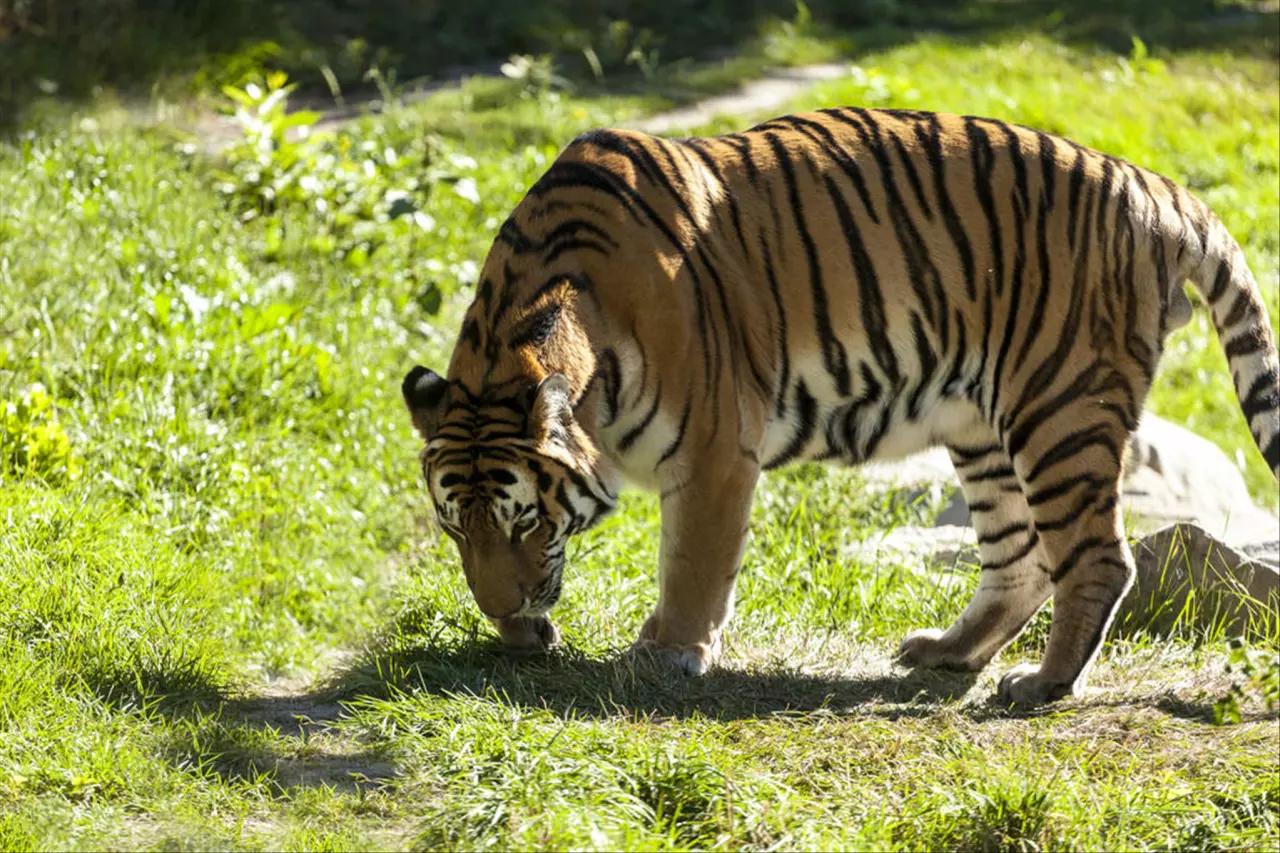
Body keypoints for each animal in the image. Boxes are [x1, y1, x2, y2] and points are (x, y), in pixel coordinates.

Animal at [404, 106, 1280, 701]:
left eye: (526, 518)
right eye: (456, 527)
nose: (505, 607)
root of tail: (1152, 184)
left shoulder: (717, 449)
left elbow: (693, 562)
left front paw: (668, 650)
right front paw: (523, 628)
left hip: (1058, 406)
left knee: (1097, 557)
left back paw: (1041, 686)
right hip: (985, 425)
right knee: (1022, 557)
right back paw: (948, 650)